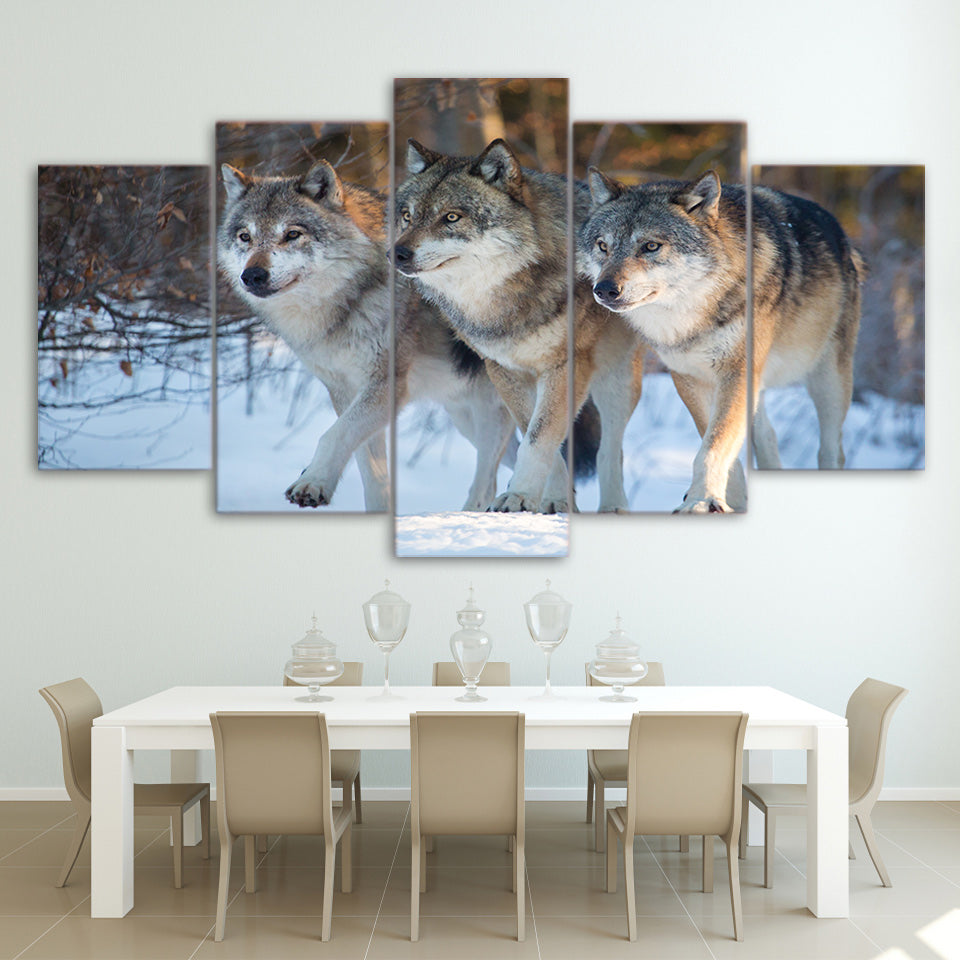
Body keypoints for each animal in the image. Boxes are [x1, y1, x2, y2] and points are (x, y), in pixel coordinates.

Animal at [219, 161, 514, 512]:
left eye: (292, 234)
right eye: (245, 237)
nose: (252, 275)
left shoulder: (385, 387)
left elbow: (333, 435)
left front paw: (312, 482)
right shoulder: (345, 390)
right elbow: (371, 471)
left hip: (492, 411)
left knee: (489, 481)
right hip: (466, 416)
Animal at [392, 138, 645, 513]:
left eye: (451, 217)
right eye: (407, 216)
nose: (397, 253)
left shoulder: (565, 367)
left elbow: (540, 437)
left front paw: (520, 495)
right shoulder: (503, 370)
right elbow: (536, 435)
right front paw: (548, 499)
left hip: (615, 380)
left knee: (611, 449)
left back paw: (614, 508)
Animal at [579, 169, 863, 513]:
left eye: (650, 246)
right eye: (603, 246)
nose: (604, 289)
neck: (692, 315)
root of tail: (844, 237)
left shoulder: (736, 373)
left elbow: (714, 445)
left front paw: (701, 501)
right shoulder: (689, 377)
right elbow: (717, 443)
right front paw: (726, 500)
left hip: (827, 382)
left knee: (832, 449)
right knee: (766, 434)